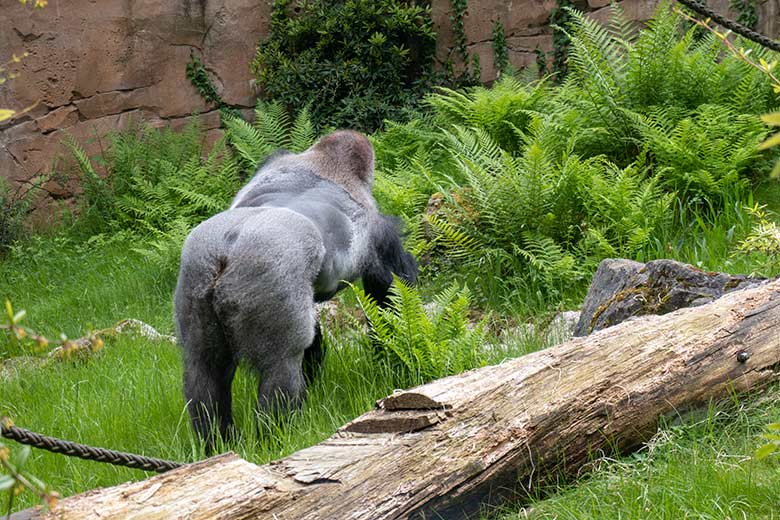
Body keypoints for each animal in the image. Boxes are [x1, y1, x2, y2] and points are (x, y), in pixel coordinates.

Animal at [174, 130, 418, 446]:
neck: (326, 163)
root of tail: (227, 251)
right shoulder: (378, 230)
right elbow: (388, 296)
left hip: (195, 276)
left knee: (203, 368)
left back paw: (217, 440)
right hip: (264, 274)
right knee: (281, 366)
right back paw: (276, 436)